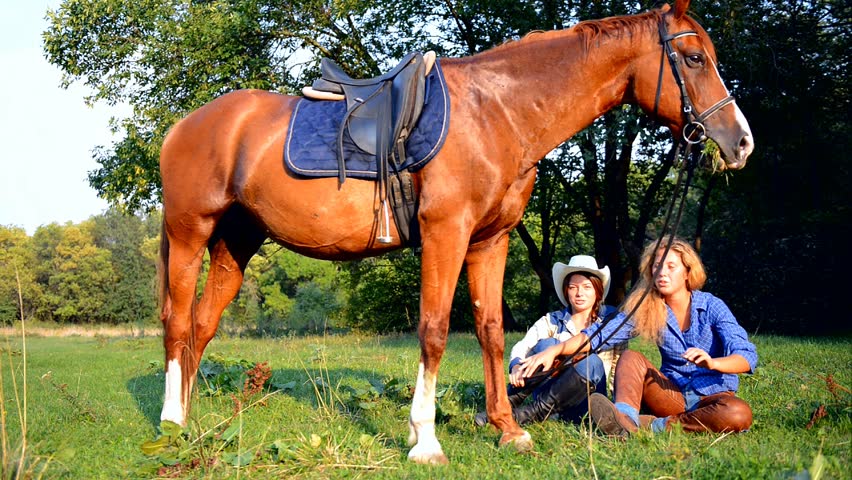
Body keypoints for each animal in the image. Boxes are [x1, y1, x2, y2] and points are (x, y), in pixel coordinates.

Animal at [157, 0, 753, 464]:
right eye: (694, 58)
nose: (741, 141)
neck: (498, 111)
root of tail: (185, 126)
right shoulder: (447, 233)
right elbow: (435, 329)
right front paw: (424, 441)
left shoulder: (491, 239)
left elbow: (491, 330)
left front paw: (508, 429)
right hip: (190, 236)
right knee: (178, 325)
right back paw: (169, 422)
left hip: (236, 243)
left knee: (202, 326)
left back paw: (188, 417)